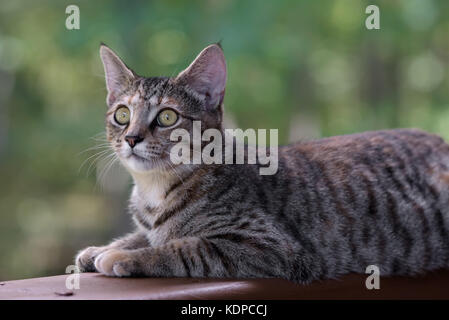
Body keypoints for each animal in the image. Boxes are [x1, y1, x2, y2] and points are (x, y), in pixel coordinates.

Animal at [75, 42, 448, 282]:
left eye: (167, 116)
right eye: (122, 115)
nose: (131, 137)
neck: (155, 190)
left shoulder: (270, 247)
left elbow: (181, 246)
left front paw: (124, 256)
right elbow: (145, 235)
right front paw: (103, 248)